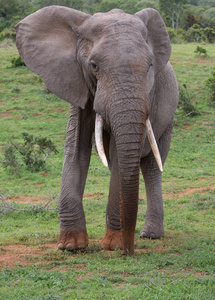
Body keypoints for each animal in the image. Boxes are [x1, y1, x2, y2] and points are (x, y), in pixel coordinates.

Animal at [15, 5, 178, 254]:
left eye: (150, 66)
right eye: (94, 66)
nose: (128, 252)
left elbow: (121, 157)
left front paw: (112, 245)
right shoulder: (76, 80)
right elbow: (75, 150)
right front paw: (70, 245)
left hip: (168, 115)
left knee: (151, 164)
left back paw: (150, 235)